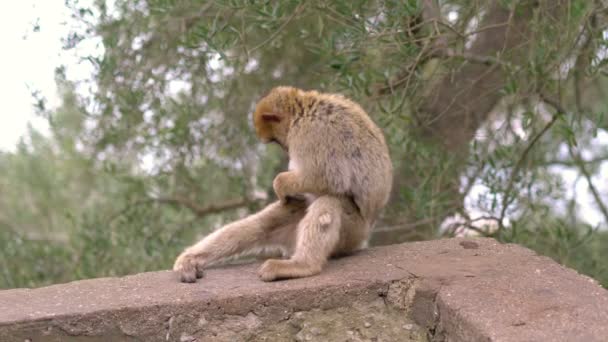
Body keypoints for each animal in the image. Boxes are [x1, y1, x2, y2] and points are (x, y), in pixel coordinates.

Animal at [173, 86, 392, 284]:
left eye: (275, 140)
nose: (286, 150)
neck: (303, 108)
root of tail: (365, 233)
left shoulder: (310, 133)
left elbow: (330, 179)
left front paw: (280, 183)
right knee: (263, 223)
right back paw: (190, 259)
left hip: (352, 233)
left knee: (330, 201)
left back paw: (303, 265)